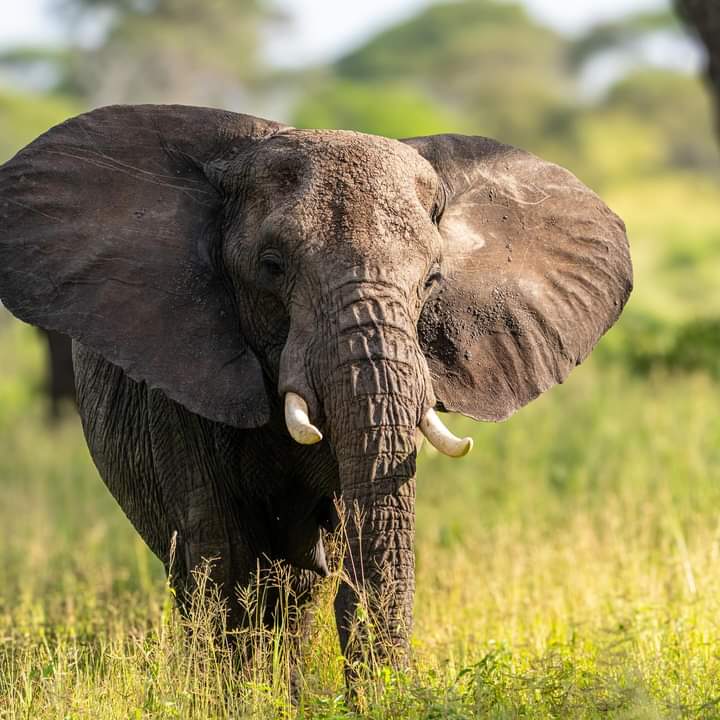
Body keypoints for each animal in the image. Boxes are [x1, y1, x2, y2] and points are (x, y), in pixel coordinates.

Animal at [0, 105, 632, 679]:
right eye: (271, 266)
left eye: (431, 280)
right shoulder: (178, 377)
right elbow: (222, 558)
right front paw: (240, 700)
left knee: (295, 588)